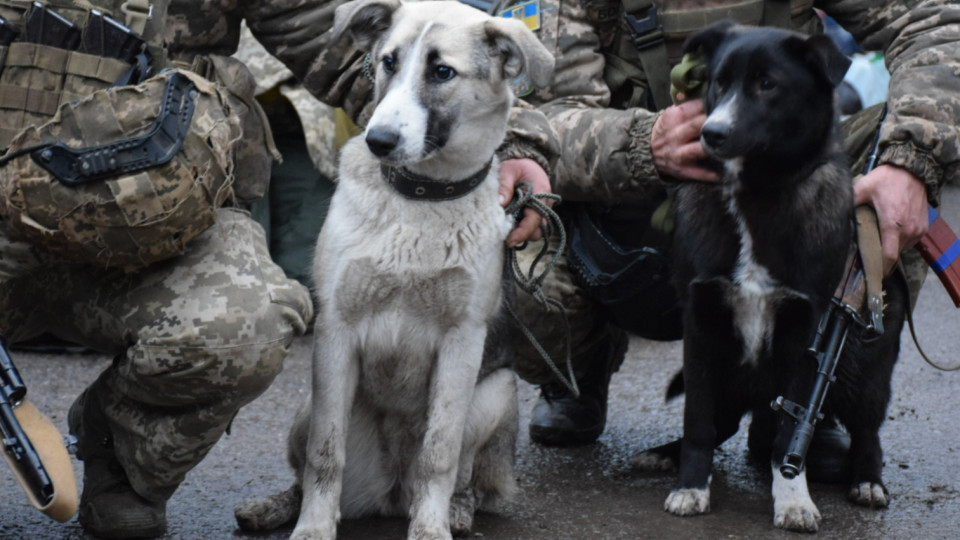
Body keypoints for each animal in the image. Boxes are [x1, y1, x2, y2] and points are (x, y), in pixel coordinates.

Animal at [231, 1, 556, 540]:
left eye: (442, 72)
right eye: (387, 62)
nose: (378, 140)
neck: (420, 199)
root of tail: (391, 493)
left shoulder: (462, 341)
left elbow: (440, 454)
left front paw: (431, 528)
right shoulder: (336, 332)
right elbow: (325, 454)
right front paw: (312, 527)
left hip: (495, 393)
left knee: (460, 470)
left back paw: (457, 509)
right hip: (306, 408)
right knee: (307, 467)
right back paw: (275, 507)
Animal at [640, 20, 904, 532]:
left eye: (768, 84)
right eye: (718, 82)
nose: (711, 133)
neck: (755, 195)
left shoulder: (805, 334)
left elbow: (790, 434)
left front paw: (793, 499)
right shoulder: (700, 326)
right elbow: (696, 420)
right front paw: (691, 486)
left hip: (864, 368)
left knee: (867, 430)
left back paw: (867, 479)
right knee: (717, 423)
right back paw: (665, 454)